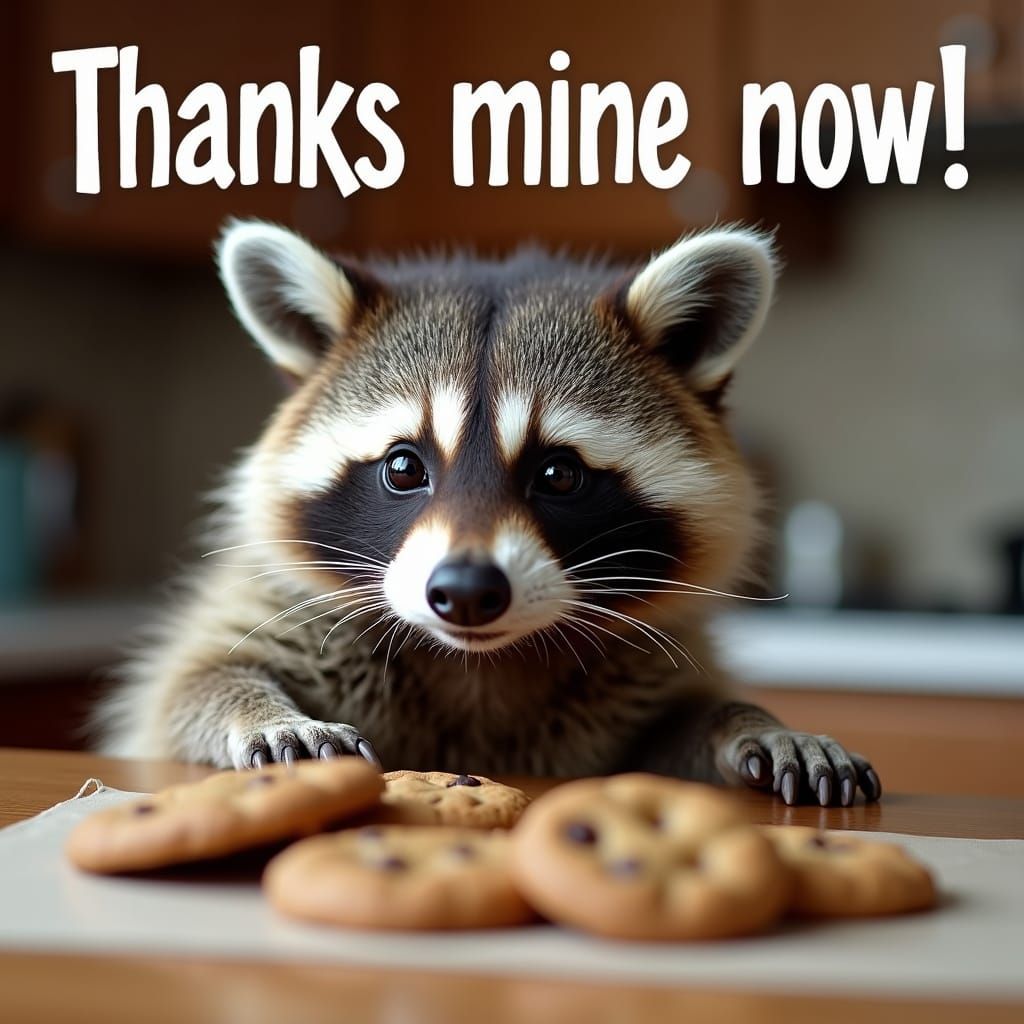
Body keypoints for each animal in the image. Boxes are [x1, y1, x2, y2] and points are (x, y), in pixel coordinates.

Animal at [98, 220, 880, 807]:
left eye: (559, 474)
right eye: (404, 467)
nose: (467, 592)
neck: (480, 660)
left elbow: (683, 716)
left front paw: (752, 721)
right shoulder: (272, 605)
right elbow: (185, 689)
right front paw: (260, 711)